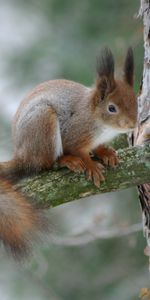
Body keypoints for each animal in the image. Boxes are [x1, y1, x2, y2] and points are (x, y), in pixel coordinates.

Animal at [0, 48, 137, 256]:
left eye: (136, 100)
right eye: (112, 108)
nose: (133, 124)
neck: (99, 122)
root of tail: (23, 156)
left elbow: (97, 148)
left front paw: (106, 152)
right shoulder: (74, 132)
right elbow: (79, 150)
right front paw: (90, 165)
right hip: (43, 125)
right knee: (47, 164)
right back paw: (67, 161)